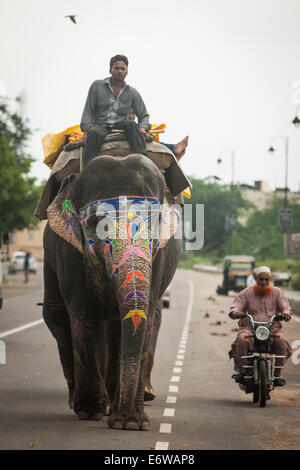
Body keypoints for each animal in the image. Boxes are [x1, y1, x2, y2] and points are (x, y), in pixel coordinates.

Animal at [42, 153, 180, 430]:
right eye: (96, 222)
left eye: (156, 220)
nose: (127, 420)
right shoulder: (68, 249)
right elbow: (83, 315)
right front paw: (91, 412)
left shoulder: (160, 254)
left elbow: (146, 316)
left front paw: (132, 423)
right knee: (56, 315)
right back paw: (83, 402)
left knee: (123, 322)